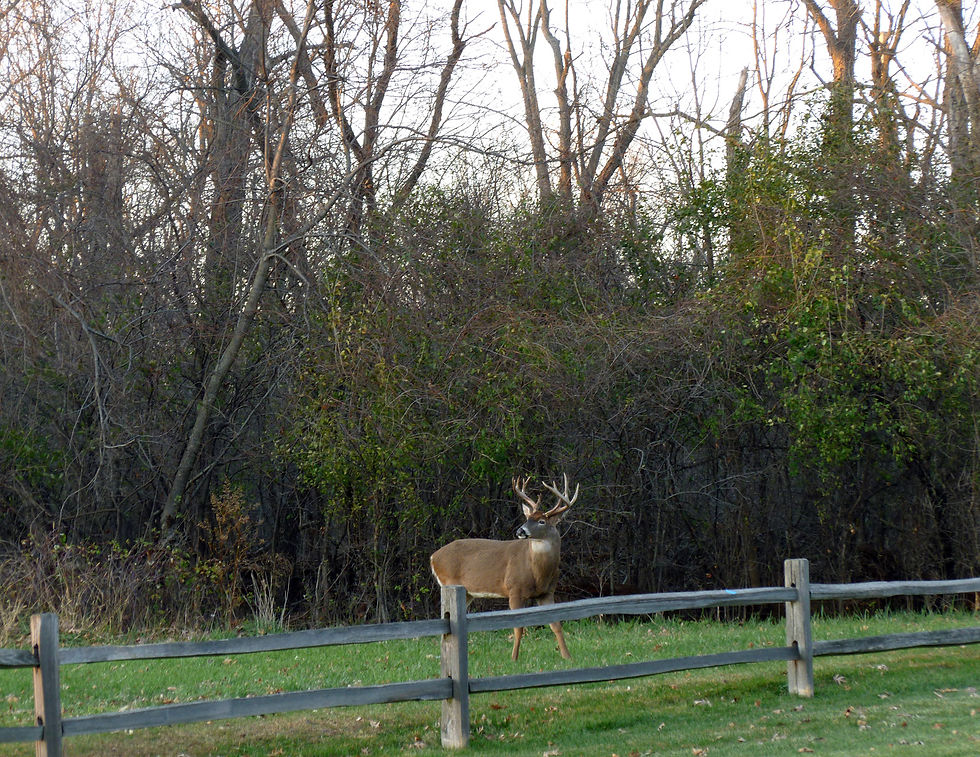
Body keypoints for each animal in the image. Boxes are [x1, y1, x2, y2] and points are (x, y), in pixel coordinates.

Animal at [429, 474, 579, 660]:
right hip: (449, 583)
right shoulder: (514, 588)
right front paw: (514, 658)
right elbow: (518, 627)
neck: (538, 572)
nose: (520, 531)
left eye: (541, 521)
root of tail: (433, 557)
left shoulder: (547, 592)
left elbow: (556, 624)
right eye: (527, 519)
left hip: (467, 593)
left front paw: (568, 656)